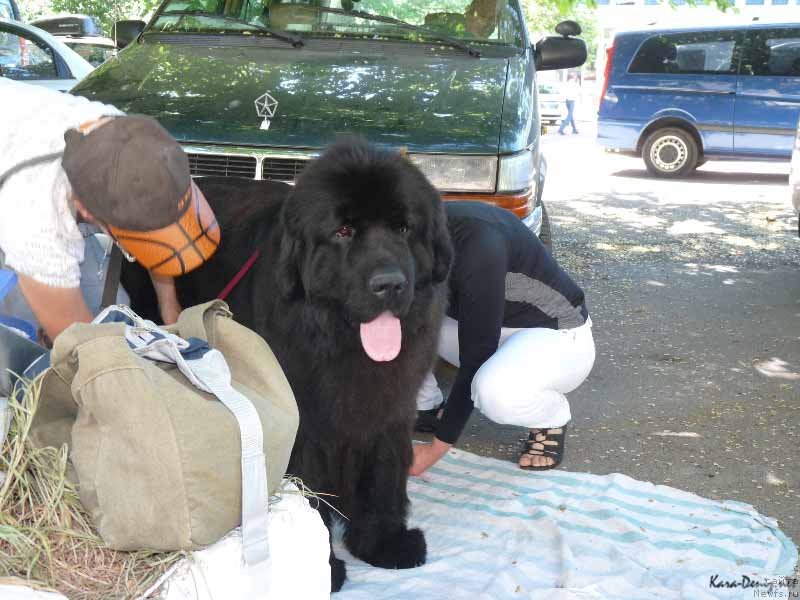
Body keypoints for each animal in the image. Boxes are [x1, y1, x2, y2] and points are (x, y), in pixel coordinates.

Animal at [122, 139, 454, 592]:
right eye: (343, 231)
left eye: (404, 228)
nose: (389, 284)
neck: (341, 344)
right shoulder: (304, 424)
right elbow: (308, 491)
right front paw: (322, 565)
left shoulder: (391, 406)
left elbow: (383, 472)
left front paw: (384, 542)